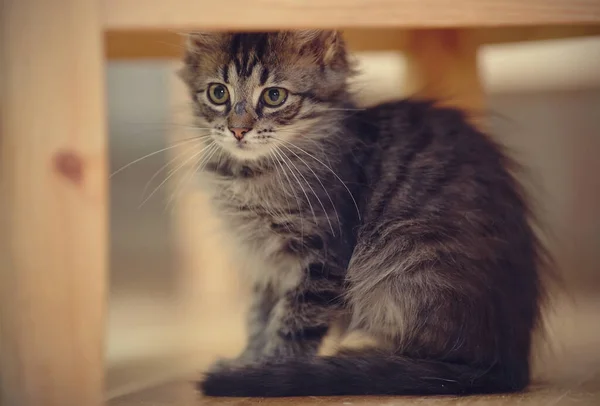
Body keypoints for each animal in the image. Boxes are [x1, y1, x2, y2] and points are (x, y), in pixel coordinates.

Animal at [178, 30, 548, 396]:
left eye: (273, 96)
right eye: (218, 93)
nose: (238, 130)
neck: (249, 176)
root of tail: (510, 363)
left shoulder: (322, 255)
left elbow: (292, 323)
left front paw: (265, 370)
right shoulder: (267, 267)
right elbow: (258, 317)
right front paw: (247, 359)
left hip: (405, 262)